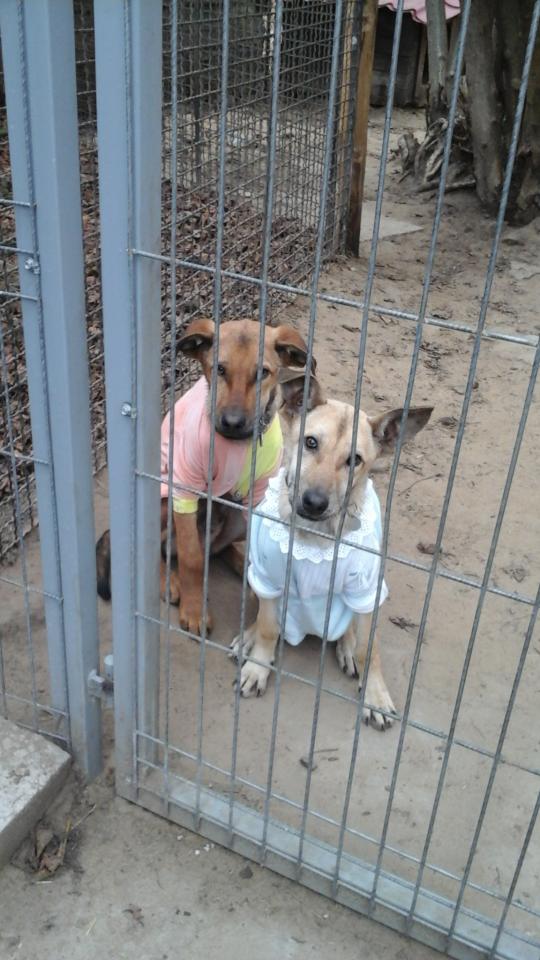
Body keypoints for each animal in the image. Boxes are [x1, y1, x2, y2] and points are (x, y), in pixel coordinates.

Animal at [96, 317, 313, 635]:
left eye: (263, 373)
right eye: (219, 369)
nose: (233, 423)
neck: (236, 445)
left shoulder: (258, 497)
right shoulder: (184, 489)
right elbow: (192, 559)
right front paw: (194, 610)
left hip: (233, 519)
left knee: (217, 549)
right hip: (161, 500)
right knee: (156, 548)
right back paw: (168, 582)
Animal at [230, 370, 433, 730]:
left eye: (355, 460)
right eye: (310, 442)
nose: (313, 503)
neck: (315, 537)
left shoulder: (367, 590)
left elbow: (370, 649)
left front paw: (375, 695)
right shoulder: (268, 576)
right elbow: (268, 627)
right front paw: (258, 666)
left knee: (350, 630)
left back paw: (347, 647)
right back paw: (248, 637)